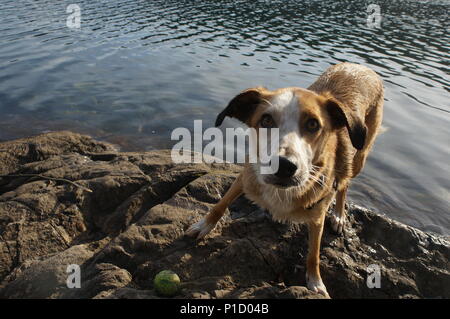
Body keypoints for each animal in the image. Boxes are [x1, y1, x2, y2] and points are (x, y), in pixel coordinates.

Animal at [185, 62, 384, 298]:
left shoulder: (317, 216)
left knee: (344, 183)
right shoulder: (247, 176)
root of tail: (360, 66)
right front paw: (203, 226)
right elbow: (221, 204)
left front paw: (315, 282)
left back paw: (338, 215)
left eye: (313, 124)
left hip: (359, 154)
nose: (283, 165)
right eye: (266, 120)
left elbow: (313, 255)